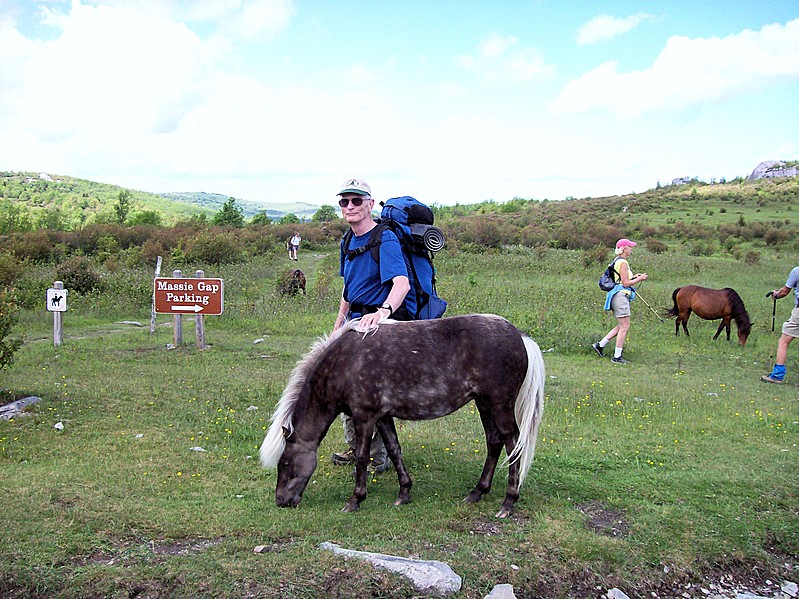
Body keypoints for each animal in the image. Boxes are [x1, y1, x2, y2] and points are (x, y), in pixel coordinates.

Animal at [260, 314, 548, 520]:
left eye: (285, 463)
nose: (281, 501)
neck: (344, 363)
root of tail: (521, 337)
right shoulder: (382, 417)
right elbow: (394, 449)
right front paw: (404, 493)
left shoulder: (364, 417)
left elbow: (362, 457)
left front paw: (355, 500)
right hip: (484, 404)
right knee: (494, 442)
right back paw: (477, 492)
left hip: (499, 405)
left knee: (513, 444)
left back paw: (508, 502)